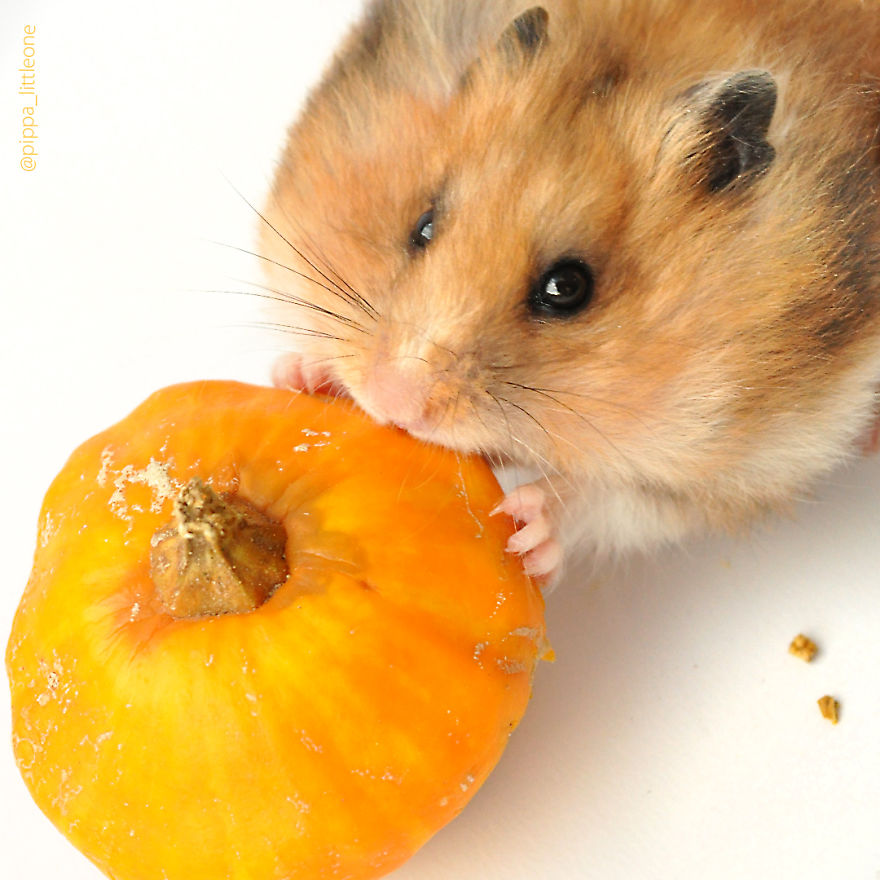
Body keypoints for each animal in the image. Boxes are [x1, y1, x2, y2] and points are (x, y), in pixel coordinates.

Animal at [257, 0, 880, 583]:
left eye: (566, 288)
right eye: (423, 226)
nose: (394, 402)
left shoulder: (763, 450)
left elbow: (625, 501)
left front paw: (530, 523)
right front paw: (301, 376)